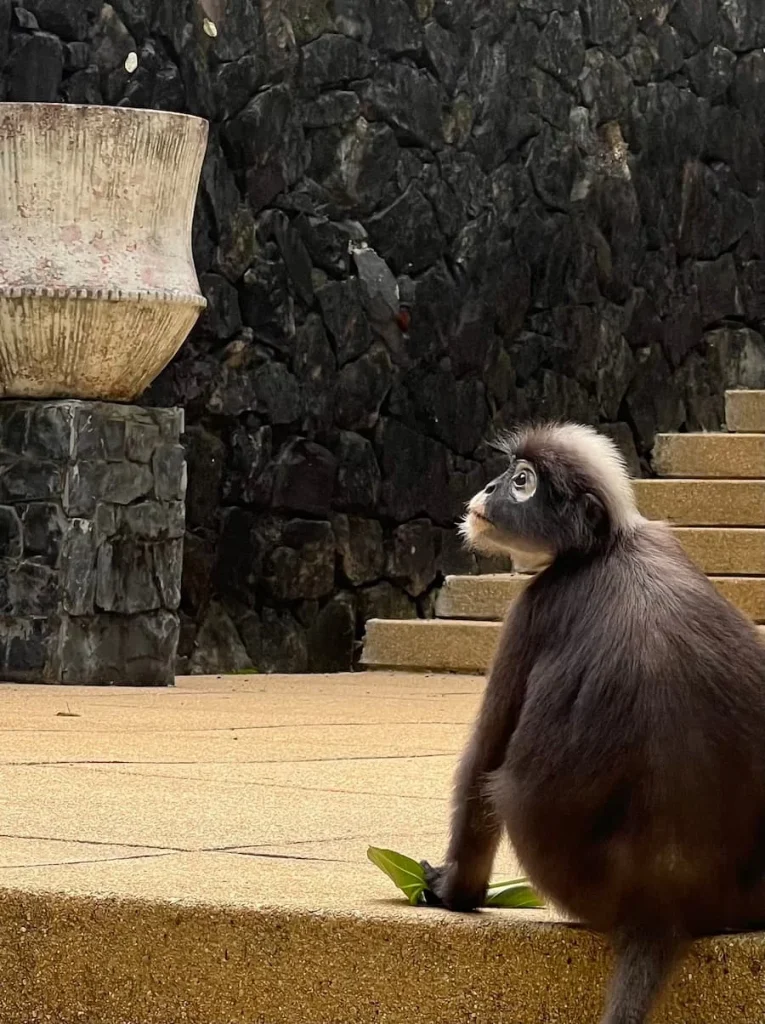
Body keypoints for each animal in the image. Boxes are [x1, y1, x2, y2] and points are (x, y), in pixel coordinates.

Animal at [421, 422, 765, 1024]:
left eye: (522, 481)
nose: (487, 488)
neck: (606, 547)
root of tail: (662, 906)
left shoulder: (534, 609)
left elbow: (483, 761)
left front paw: (452, 890)